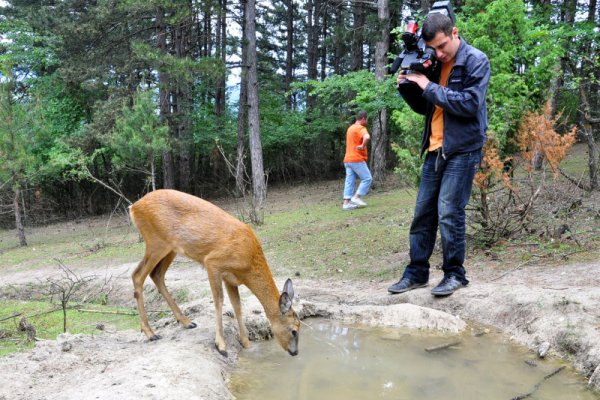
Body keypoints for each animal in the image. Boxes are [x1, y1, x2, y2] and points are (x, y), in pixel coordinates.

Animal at [129, 190, 302, 356]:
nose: (295, 352)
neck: (249, 262)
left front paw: (246, 343)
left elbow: (237, 305)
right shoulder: (213, 262)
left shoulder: (230, 278)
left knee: (156, 274)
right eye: (294, 330)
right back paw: (151, 333)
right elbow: (218, 301)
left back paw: (187, 322)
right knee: (137, 275)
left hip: (171, 248)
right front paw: (221, 346)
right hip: (156, 241)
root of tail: (134, 207)